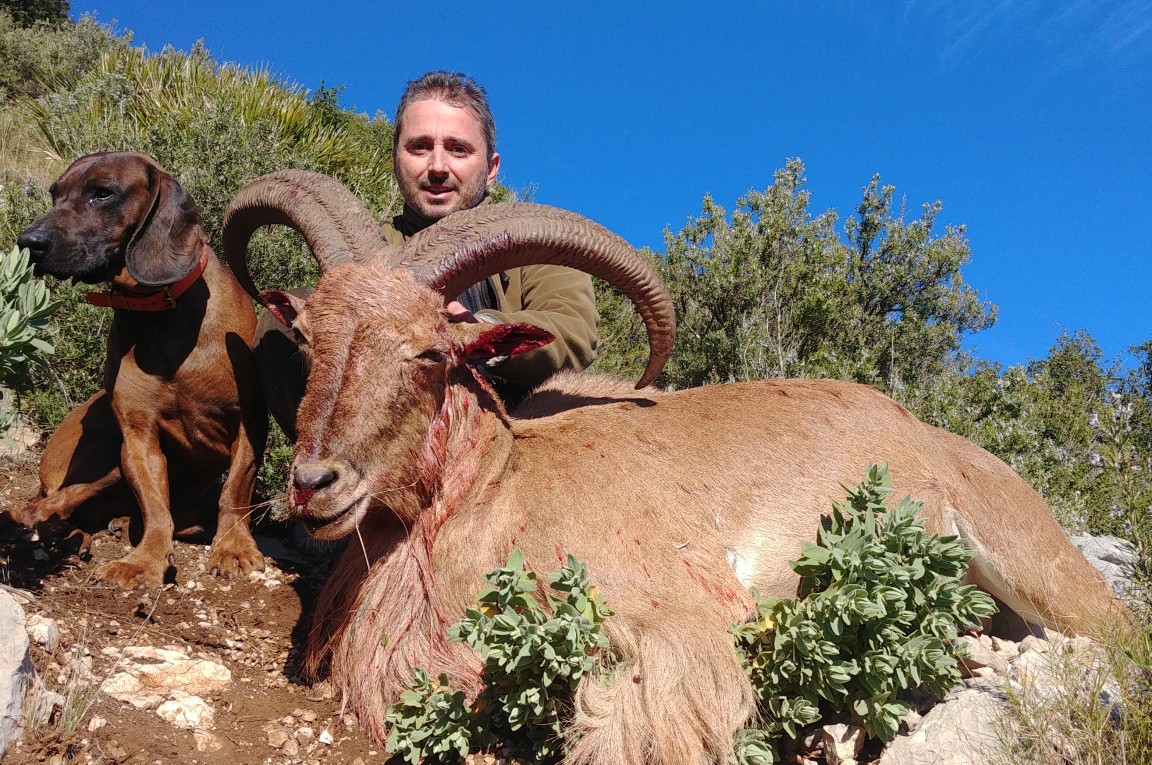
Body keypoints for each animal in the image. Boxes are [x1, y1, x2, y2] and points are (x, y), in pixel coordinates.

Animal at [11, 154, 267, 585]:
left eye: (102, 193)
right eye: (54, 193)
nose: (28, 242)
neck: (159, 314)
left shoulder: (248, 422)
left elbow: (235, 489)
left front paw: (233, 547)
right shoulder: (136, 435)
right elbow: (154, 505)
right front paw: (145, 559)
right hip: (103, 456)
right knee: (41, 508)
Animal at [222, 171, 1124, 765]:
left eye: (430, 351)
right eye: (310, 338)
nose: (315, 483)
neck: (500, 487)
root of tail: (931, 434)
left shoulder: (678, 620)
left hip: (1036, 560)